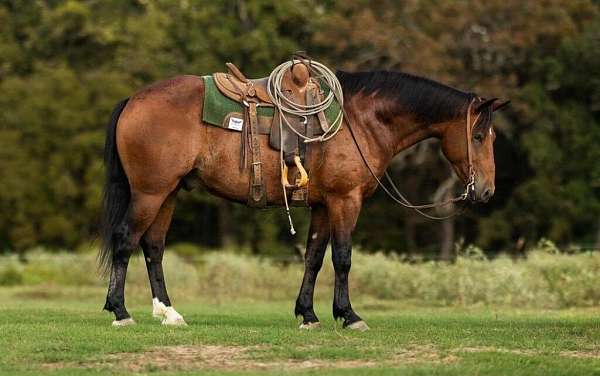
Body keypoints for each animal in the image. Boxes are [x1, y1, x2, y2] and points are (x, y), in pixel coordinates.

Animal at [98, 69, 506, 328]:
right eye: (479, 137)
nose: (486, 191)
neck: (361, 120)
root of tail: (134, 99)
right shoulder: (345, 201)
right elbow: (342, 258)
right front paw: (349, 315)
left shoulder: (324, 205)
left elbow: (313, 258)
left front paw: (308, 314)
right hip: (149, 193)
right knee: (125, 240)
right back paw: (120, 311)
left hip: (167, 193)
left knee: (153, 247)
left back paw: (169, 313)